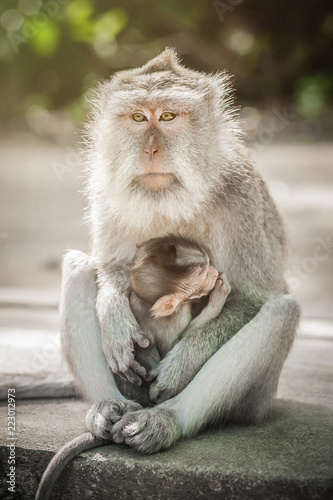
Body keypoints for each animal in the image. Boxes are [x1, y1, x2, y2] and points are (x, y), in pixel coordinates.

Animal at [35, 235, 228, 500]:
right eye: (205, 275)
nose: (215, 271)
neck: (147, 304)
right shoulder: (174, 315)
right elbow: (183, 334)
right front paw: (217, 300)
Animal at [59, 48, 298, 456]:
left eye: (168, 117)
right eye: (139, 117)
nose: (150, 150)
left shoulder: (240, 196)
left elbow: (254, 296)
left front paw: (178, 367)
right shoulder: (105, 187)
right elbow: (110, 266)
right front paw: (115, 318)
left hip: (257, 401)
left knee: (283, 311)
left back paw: (166, 420)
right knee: (77, 269)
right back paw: (108, 408)